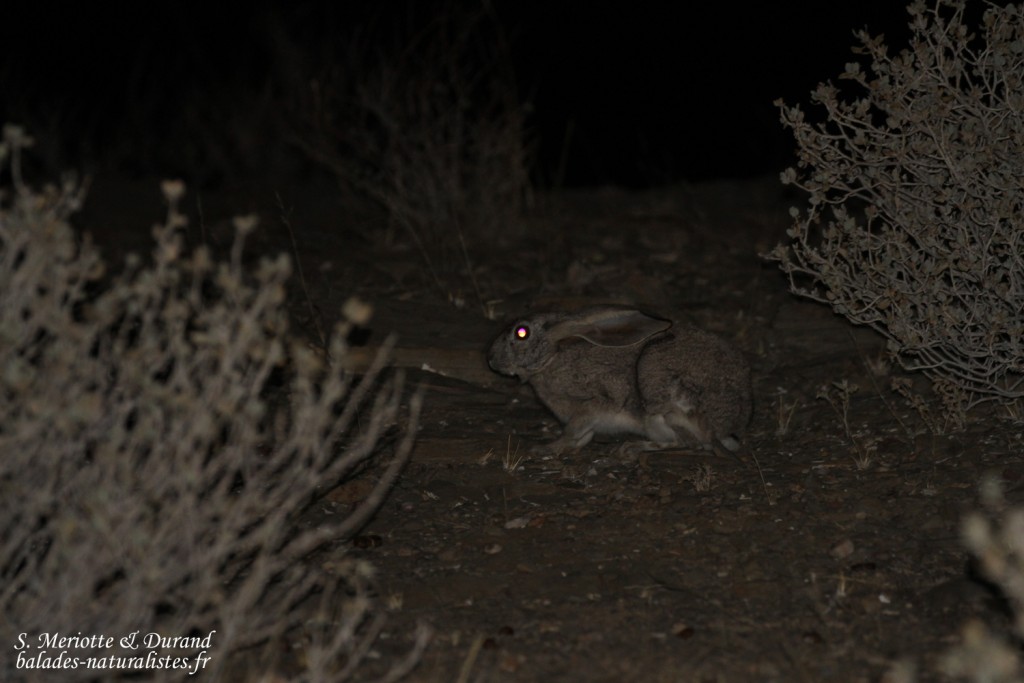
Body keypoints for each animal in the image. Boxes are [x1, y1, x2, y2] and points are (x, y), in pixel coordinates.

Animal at [487, 305, 751, 455]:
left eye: (522, 333)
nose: (491, 360)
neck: (551, 357)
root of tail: (729, 424)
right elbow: (583, 436)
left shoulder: (594, 402)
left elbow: (573, 430)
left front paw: (548, 448)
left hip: (657, 392)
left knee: (693, 443)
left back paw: (632, 448)